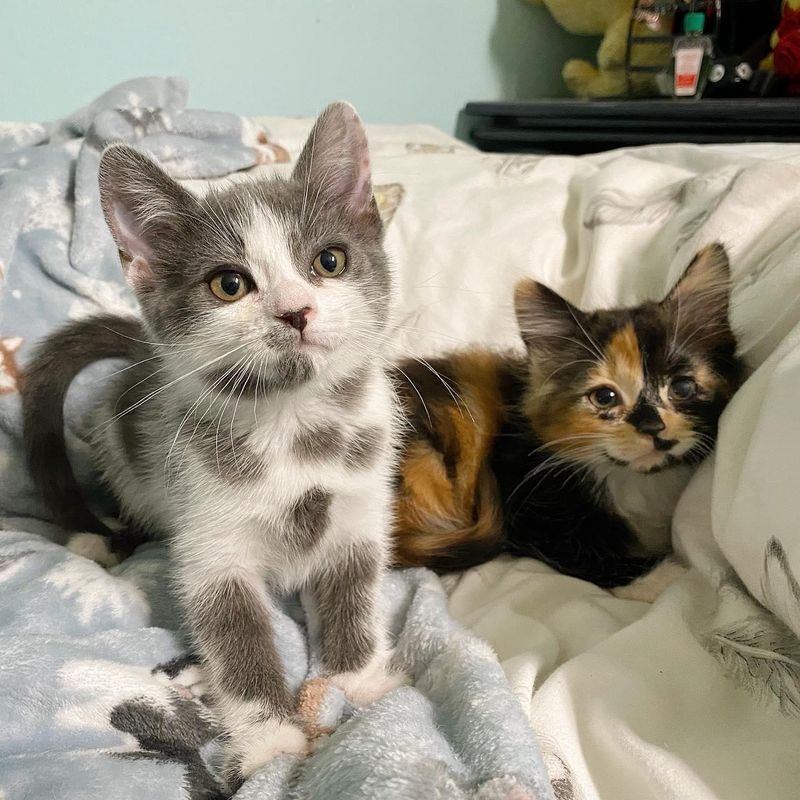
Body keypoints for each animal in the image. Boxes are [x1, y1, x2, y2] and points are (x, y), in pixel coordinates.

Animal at [21, 103, 404, 784]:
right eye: (229, 285)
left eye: (329, 262)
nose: (296, 311)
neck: (296, 427)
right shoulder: (208, 537)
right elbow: (236, 633)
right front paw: (270, 739)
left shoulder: (361, 505)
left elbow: (354, 593)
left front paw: (357, 684)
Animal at [394, 244, 744, 588]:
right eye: (604, 397)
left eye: (682, 387)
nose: (652, 426)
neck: (636, 479)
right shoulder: (527, 505)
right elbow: (580, 551)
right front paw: (666, 578)